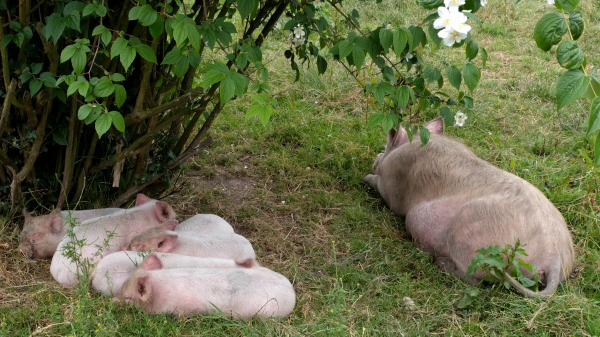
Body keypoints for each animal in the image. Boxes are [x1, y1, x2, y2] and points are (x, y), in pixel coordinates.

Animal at [364, 117, 576, 296]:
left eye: (385, 148)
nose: (377, 155)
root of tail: (554, 256)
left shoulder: (393, 188)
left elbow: (384, 190)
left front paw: (366, 177)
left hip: (469, 233)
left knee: (476, 277)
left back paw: (440, 263)